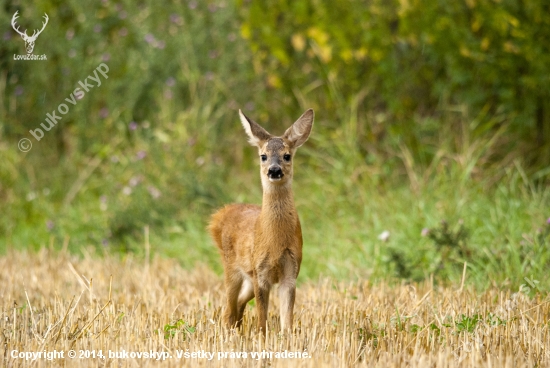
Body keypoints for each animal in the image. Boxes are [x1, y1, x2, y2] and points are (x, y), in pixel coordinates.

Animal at [209, 108, 314, 334]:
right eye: (263, 156)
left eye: (287, 156)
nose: (274, 170)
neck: (275, 243)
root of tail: (221, 215)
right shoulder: (262, 272)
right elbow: (262, 319)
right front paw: (261, 337)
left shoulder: (291, 270)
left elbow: (287, 320)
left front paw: (287, 337)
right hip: (232, 266)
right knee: (228, 307)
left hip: (249, 276)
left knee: (237, 303)